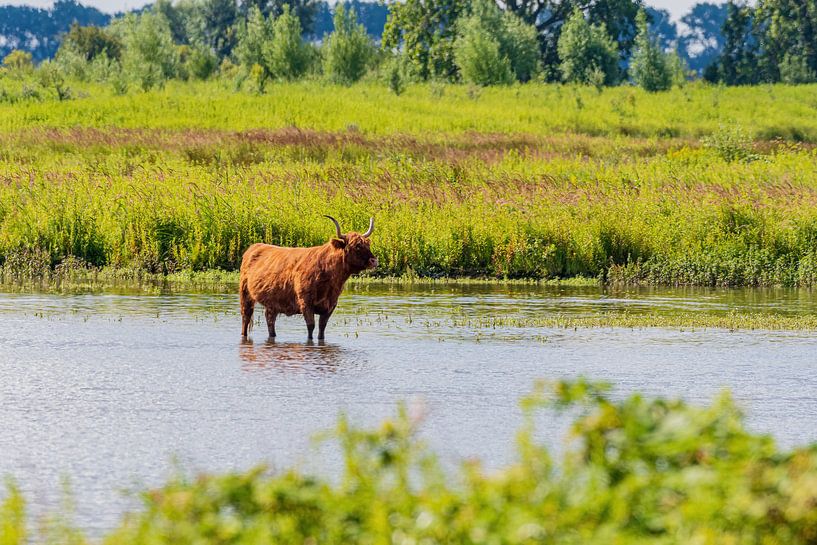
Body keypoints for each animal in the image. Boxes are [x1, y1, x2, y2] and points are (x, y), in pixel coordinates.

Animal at [236, 217, 376, 340]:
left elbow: (322, 328)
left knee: (270, 320)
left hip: (272, 302)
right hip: (245, 294)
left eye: (367, 245)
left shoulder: (331, 304)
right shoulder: (306, 302)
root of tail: (254, 247)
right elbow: (311, 326)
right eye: (357, 246)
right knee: (246, 317)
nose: (374, 260)